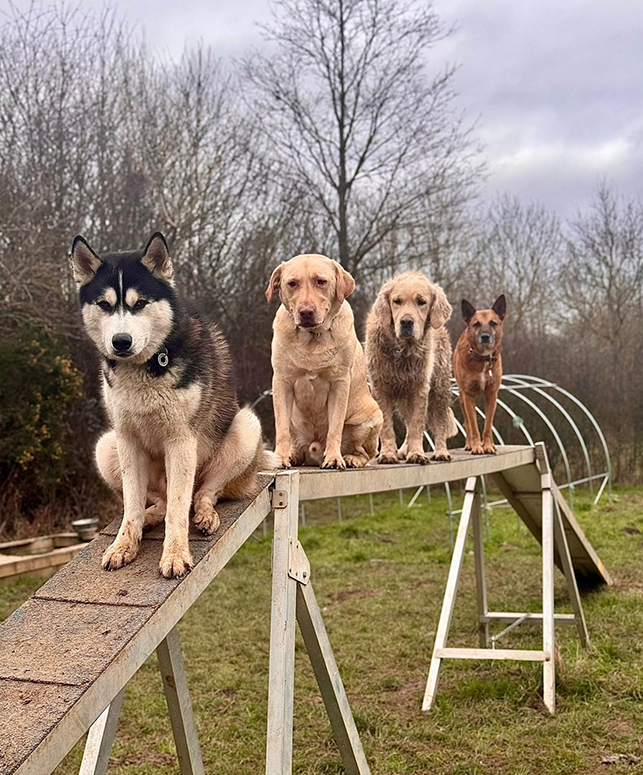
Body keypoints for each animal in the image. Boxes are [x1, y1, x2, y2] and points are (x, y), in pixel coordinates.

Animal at [71, 233, 276, 580]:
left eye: (140, 303)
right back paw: (151, 516)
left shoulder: (181, 440)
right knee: (161, 501)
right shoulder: (126, 440)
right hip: (105, 446)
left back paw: (205, 515)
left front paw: (176, 553)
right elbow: (131, 505)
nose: (121, 341)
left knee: (201, 494)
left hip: (246, 428)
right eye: (105, 305)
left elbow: (180, 508)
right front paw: (124, 544)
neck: (145, 368)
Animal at [452, 296, 508, 454]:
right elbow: (473, 425)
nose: (485, 337)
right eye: (476, 324)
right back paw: (470, 444)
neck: (483, 358)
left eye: (493, 323)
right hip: (462, 398)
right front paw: (477, 447)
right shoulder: (468, 395)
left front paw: (488, 446)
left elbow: (488, 425)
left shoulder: (491, 394)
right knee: (468, 423)